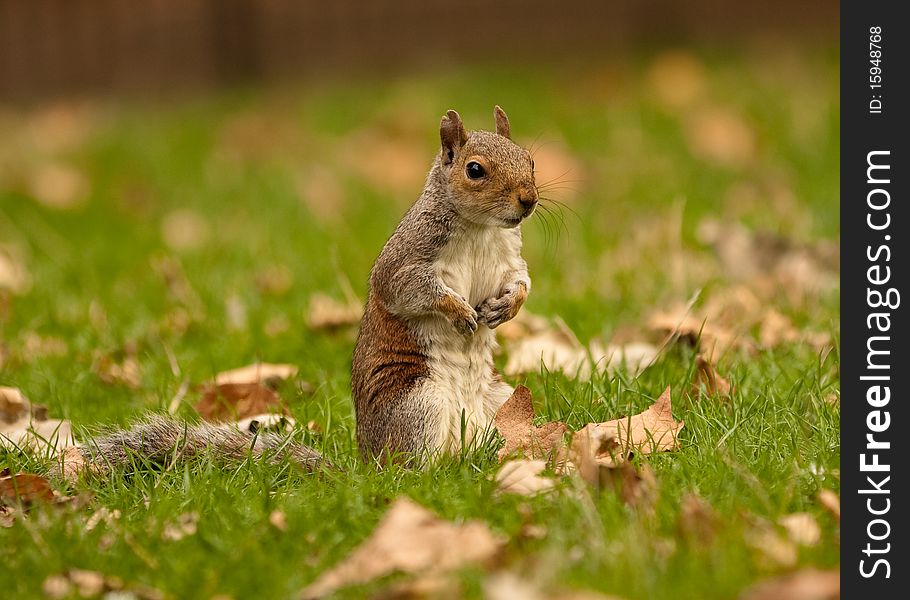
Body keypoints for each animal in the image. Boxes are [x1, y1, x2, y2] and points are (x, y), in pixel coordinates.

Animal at [58, 105, 536, 476]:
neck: (478, 228)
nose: (529, 200)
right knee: (414, 467)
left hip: (501, 401)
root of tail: (366, 468)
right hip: (419, 404)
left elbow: (521, 280)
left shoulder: (508, 256)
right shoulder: (409, 256)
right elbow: (408, 289)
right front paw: (458, 311)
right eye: (475, 170)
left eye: (530, 160)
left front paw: (507, 307)